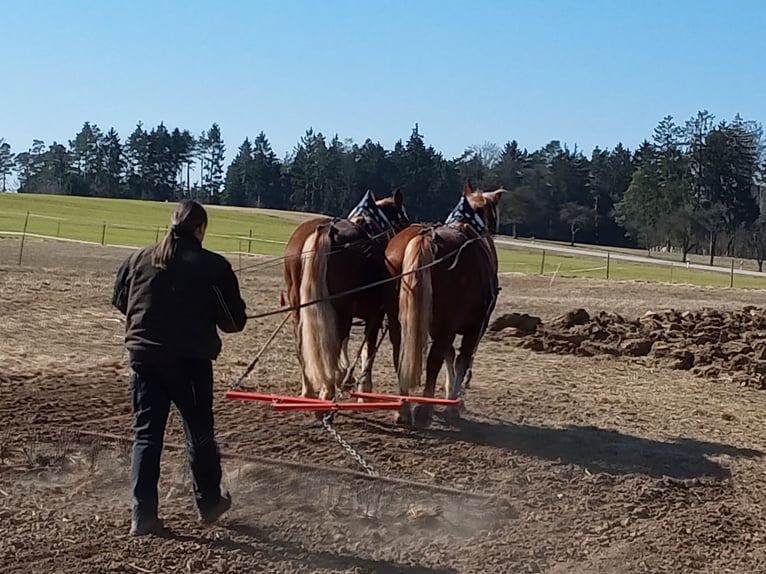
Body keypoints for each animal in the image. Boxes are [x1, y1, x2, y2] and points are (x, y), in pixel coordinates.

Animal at [284, 190, 414, 404]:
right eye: (403, 220)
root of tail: (324, 231)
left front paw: (346, 377)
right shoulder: (374, 315)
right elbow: (368, 348)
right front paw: (363, 387)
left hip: (299, 306)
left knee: (302, 343)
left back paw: (310, 388)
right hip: (340, 309)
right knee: (332, 343)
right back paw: (328, 389)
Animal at [388, 182, 508, 430]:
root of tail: (426, 237)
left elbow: (450, 355)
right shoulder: (474, 327)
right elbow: (462, 360)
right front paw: (453, 402)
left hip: (397, 320)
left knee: (400, 356)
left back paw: (404, 408)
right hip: (449, 324)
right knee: (434, 361)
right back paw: (423, 410)